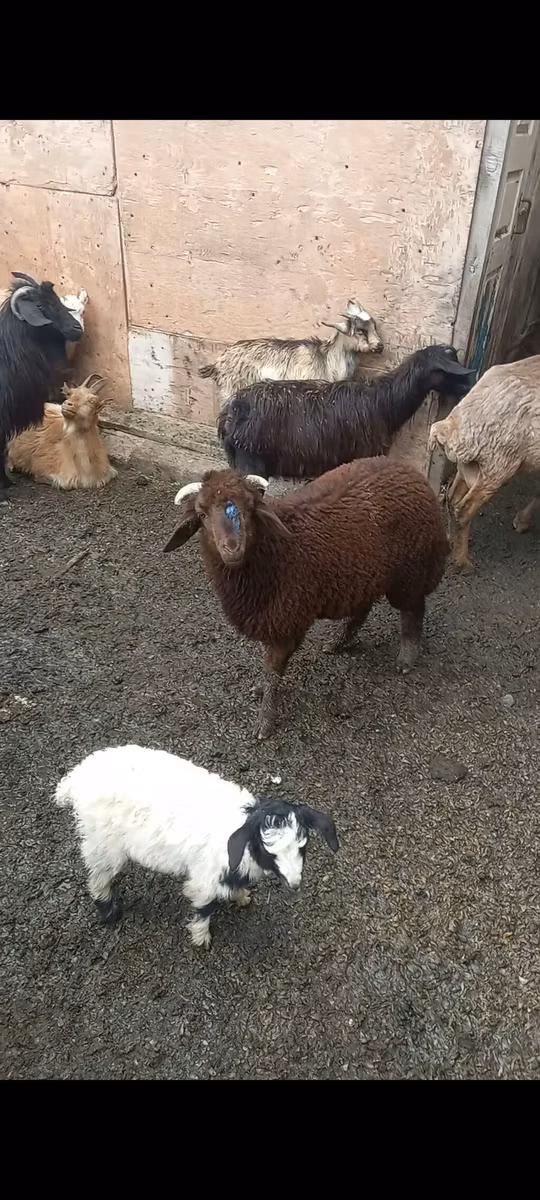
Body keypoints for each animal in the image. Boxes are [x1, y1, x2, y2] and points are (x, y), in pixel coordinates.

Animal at [55, 744, 339, 949]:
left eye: (302, 846)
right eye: (271, 852)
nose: (295, 884)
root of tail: (74, 780)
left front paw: (241, 897)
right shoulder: (206, 874)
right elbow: (204, 905)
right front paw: (201, 937)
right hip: (102, 842)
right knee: (99, 876)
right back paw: (108, 912)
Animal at [163, 459, 449, 739]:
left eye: (250, 508)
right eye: (202, 514)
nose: (232, 548)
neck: (274, 552)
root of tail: (410, 472)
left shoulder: (286, 622)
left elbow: (272, 670)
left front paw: (265, 721)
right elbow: (268, 669)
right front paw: (261, 691)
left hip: (410, 572)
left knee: (413, 610)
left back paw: (407, 657)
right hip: (364, 574)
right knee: (363, 609)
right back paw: (340, 642)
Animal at [199, 299, 384, 408]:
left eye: (373, 325)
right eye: (360, 330)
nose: (380, 346)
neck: (327, 359)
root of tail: (219, 363)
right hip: (231, 390)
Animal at [217, 345, 477, 480]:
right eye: (451, 370)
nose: (472, 384)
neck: (384, 402)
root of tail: (231, 410)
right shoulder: (363, 454)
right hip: (251, 461)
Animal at [428, 354, 540, 572]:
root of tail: (452, 426)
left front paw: (522, 521)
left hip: (469, 466)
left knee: (452, 499)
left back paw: (451, 541)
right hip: (496, 465)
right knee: (463, 510)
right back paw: (463, 562)